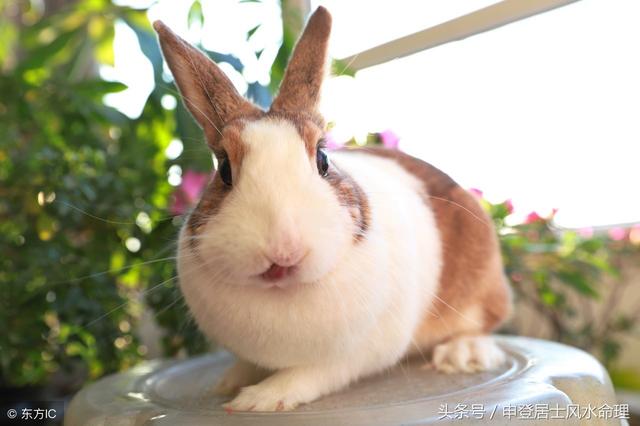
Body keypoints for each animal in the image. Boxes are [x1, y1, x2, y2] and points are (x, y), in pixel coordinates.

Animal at [152, 5, 512, 412]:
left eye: (323, 159)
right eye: (225, 170)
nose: (283, 252)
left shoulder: (356, 355)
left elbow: (312, 374)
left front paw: (259, 399)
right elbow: (247, 363)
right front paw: (228, 383)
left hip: (481, 289)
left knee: (481, 324)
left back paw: (463, 354)